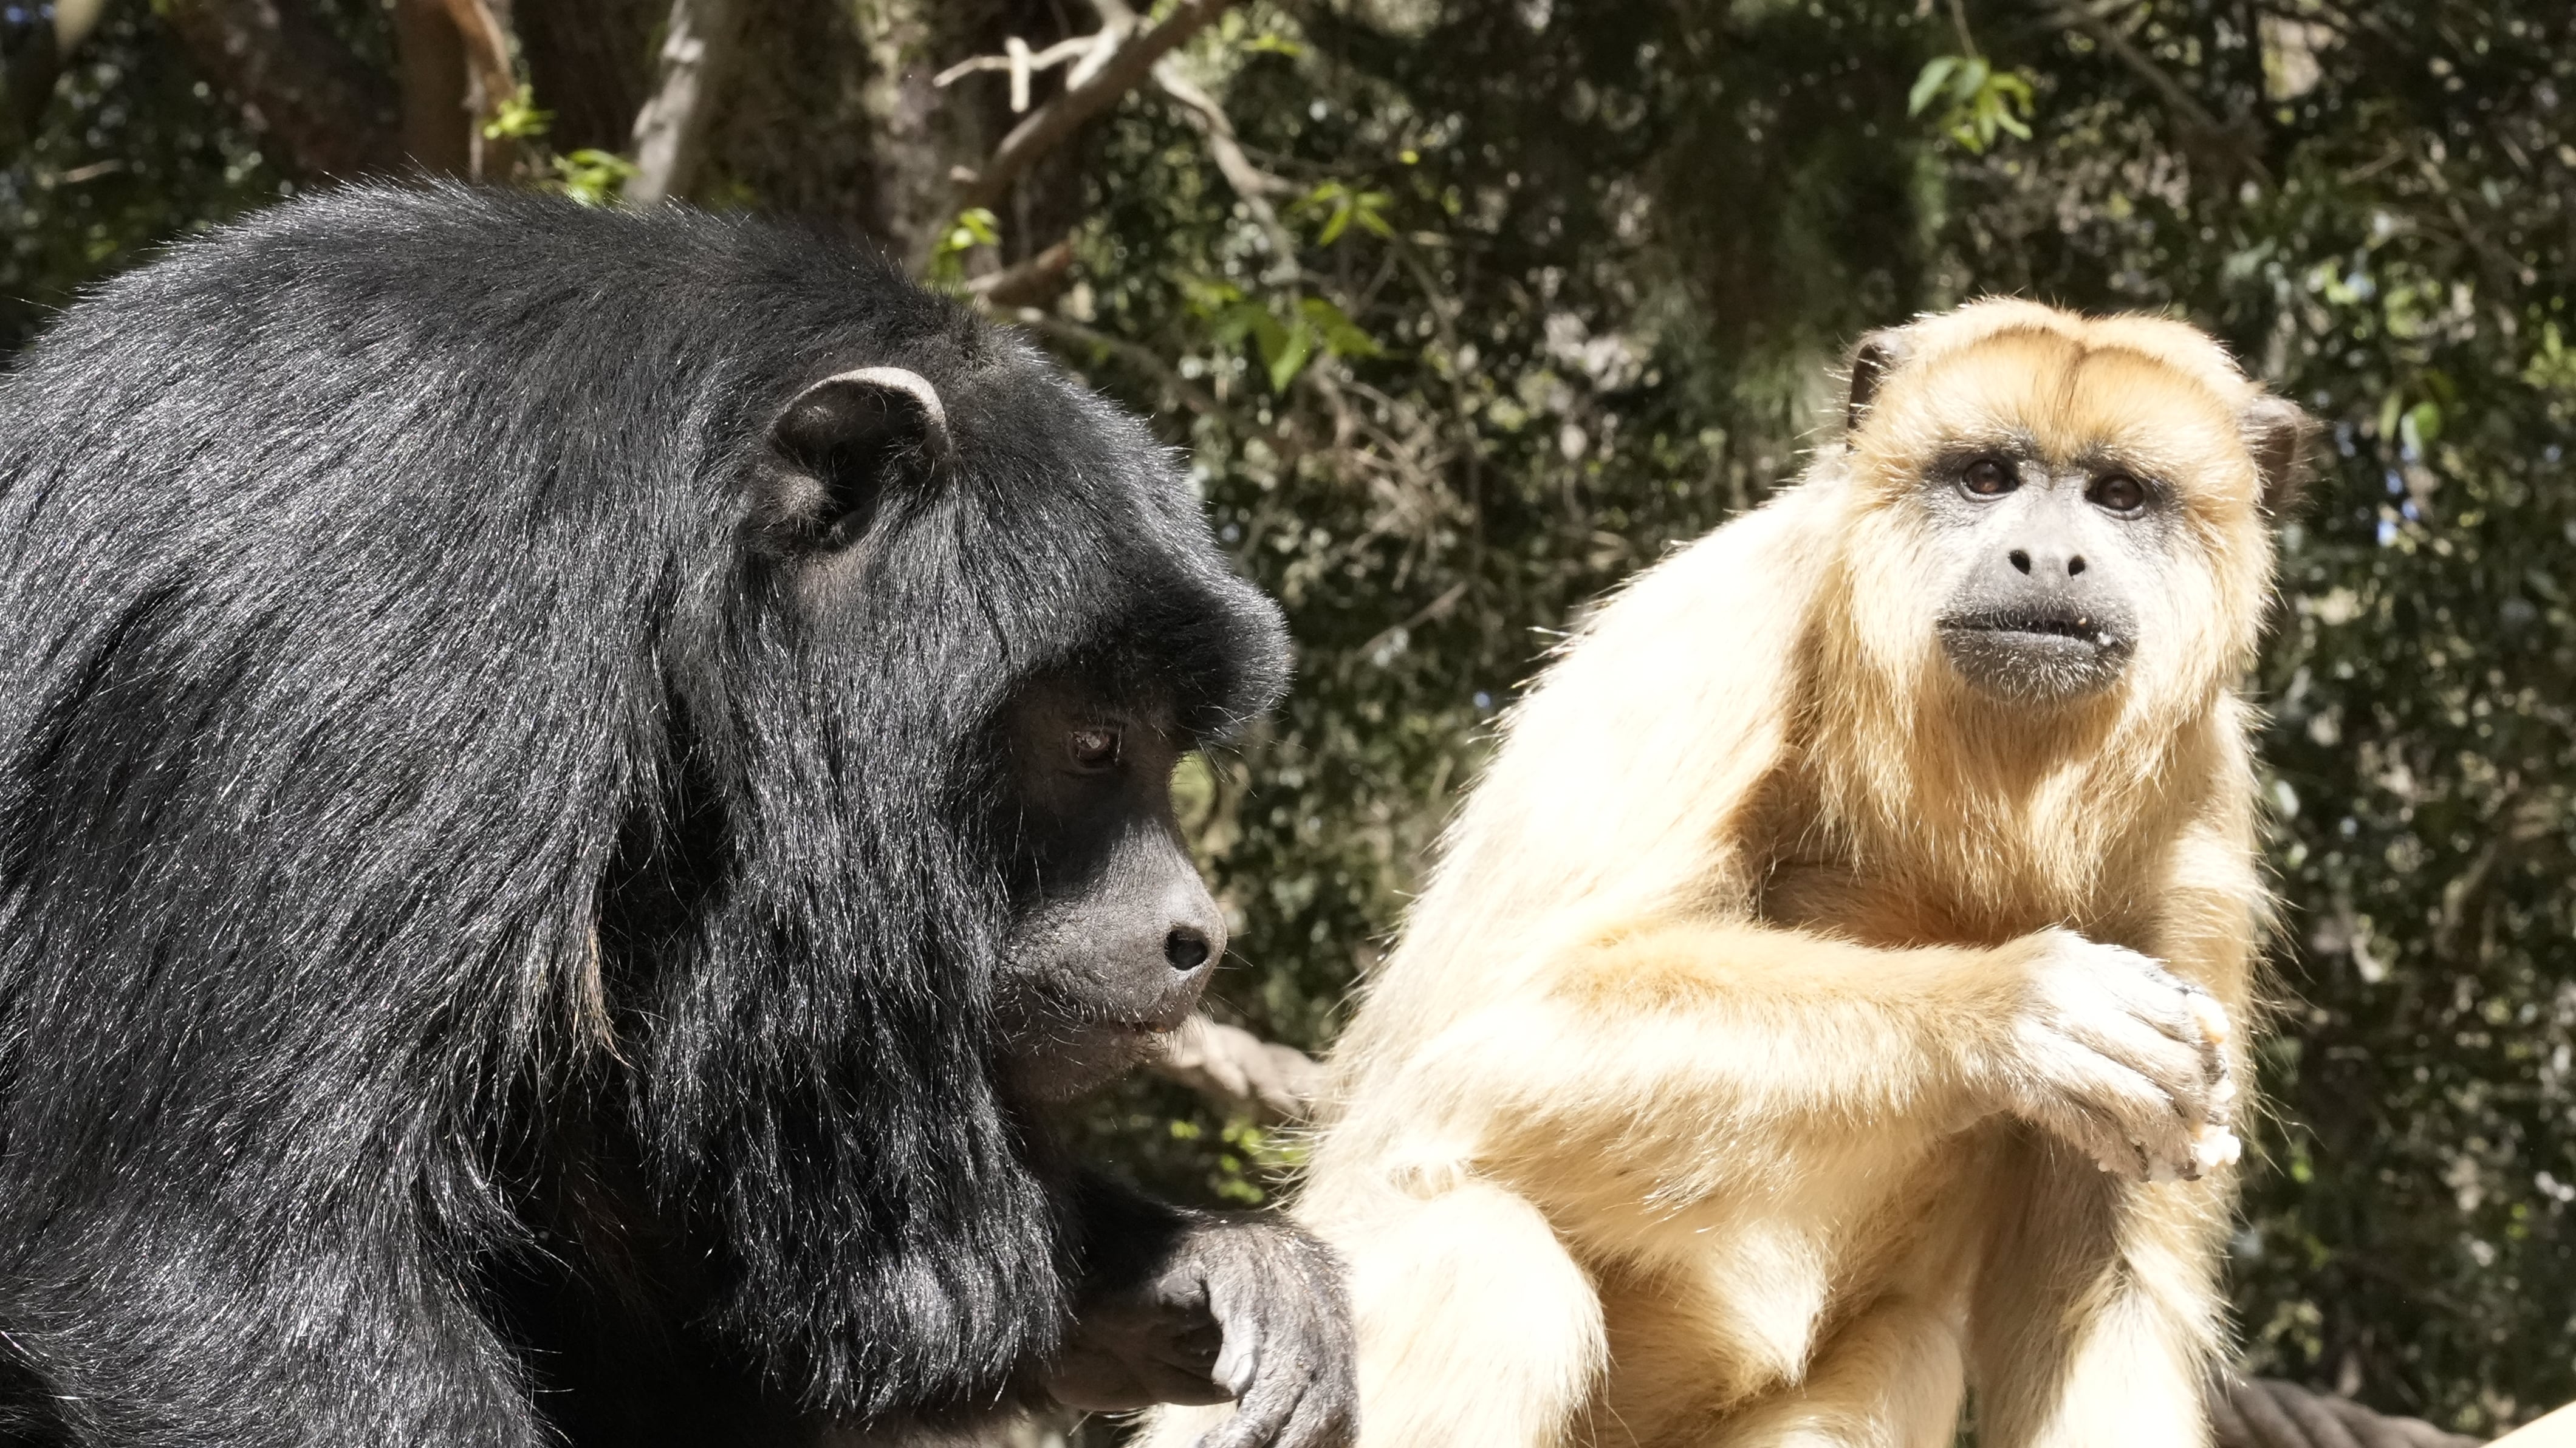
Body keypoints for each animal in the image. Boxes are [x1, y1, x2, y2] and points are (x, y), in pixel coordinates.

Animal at [1149, 299, 2318, 1443]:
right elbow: (1482, 1038)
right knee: (1485, 1262)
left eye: (2121, 496)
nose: (2048, 558)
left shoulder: (2204, 814)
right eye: (1987, 476)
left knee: (1905, 1352)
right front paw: (2021, 1006)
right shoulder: (1723, 617)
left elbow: (2115, 1295)